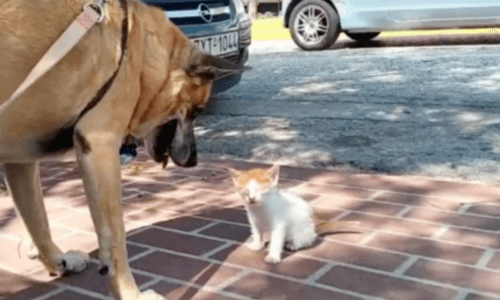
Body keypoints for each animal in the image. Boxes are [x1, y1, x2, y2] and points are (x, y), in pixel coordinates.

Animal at [0, 1, 246, 298]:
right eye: (197, 111)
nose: (195, 161)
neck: (137, 50)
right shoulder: (100, 145)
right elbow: (115, 239)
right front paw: (131, 293)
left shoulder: (20, 161)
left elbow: (37, 219)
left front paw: (59, 262)